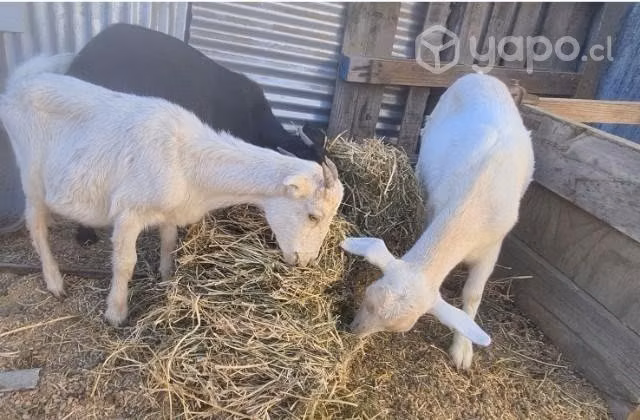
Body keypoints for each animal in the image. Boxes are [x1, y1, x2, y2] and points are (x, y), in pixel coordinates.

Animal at [0, 54, 344, 326]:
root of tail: (19, 83)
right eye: (313, 215)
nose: (305, 261)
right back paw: (55, 281)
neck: (187, 158)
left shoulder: (169, 211)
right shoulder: (129, 211)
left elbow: (169, 243)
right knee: (35, 224)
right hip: (31, 172)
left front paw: (166, 280)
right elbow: (125, 263)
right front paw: (116, 314)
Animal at [341, 73, 535, 369]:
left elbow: (473, 294)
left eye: (398, 329)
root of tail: (481, 75)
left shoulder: (492, 247)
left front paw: (462, 350)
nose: (353, 330)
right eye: (367, 298)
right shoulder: (433, 210)